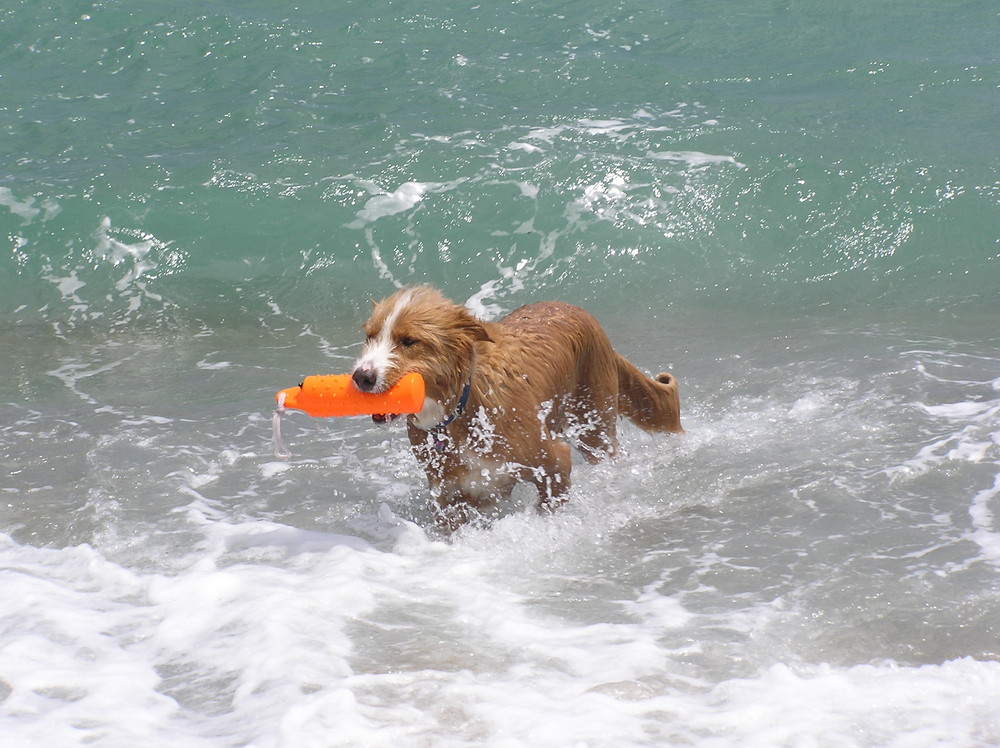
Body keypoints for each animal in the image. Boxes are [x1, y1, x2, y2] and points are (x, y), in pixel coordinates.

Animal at [348, 284, 684, 524]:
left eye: (408, 341)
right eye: (370, 337)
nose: (361, 377)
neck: (460, 411)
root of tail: (576, 308)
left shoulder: (553, 462)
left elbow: (548, 505)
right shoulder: (452, 493)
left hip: (593, 425)